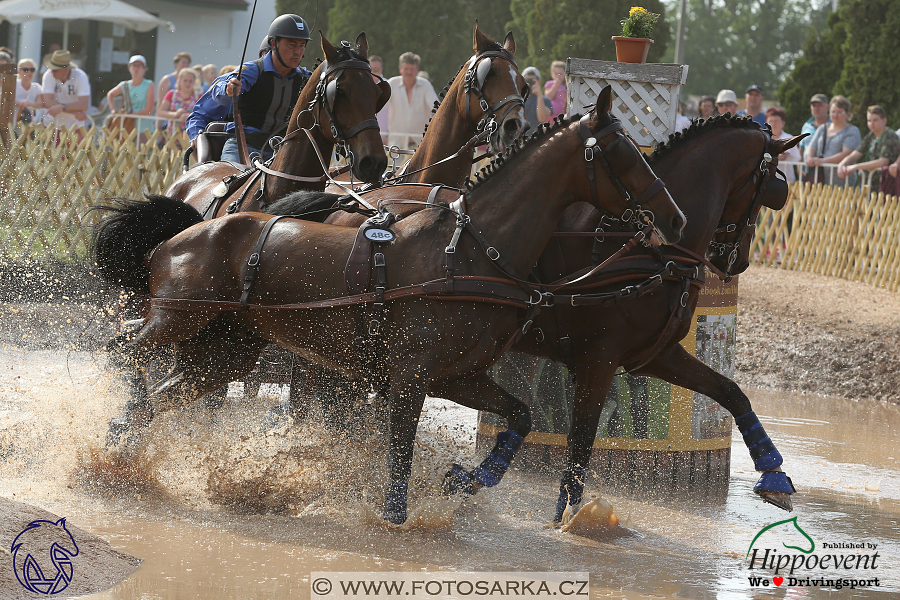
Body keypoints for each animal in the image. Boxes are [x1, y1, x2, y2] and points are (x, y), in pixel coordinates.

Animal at [93, 86, 684, 524]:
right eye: (621, 151)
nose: (674, 218)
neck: (468, 251)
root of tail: (182, 232)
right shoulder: (410, 377)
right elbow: (399, 457)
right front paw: (397, 517)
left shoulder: (458, 376)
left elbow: (519, 414)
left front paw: (469, 477)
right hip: (178, 317)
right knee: (123, 347)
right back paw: (114, 429)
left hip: (226, 351)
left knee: (161, 394)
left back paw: (122, 444)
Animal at [500, 115, 808, 524]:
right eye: (773, 186)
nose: (739, 261)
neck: (652, 252)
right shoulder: (600, 359)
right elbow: (581, 441)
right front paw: (572, 520)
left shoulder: (654, 355)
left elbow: (731, 391)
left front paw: (773, 475)